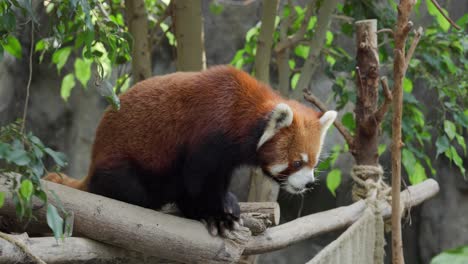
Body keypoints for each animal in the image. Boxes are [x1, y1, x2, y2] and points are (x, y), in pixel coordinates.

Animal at [44, 65, 336, 235]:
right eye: (297, 162)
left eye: (313, 163)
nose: (308, 183)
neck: (241, 115)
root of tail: (93, 161)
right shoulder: (208, 134)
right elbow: (198, 180)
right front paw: (214, 215)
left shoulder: (226, 156)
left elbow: (214, 180)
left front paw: (225, 205)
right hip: (122, 164)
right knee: (134, 190)